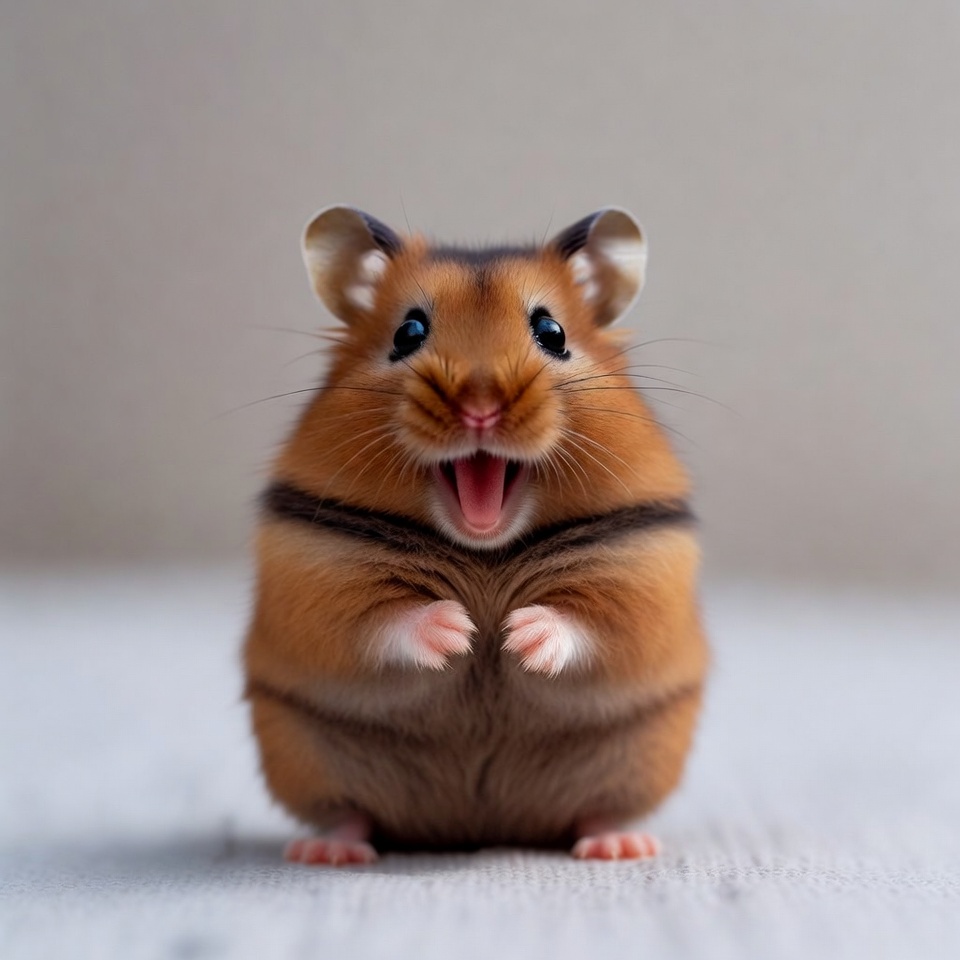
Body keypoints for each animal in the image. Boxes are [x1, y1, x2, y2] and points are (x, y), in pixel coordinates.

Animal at [243, 205, 708, 864]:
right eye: (408, 332)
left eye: (552, 332)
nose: (480, 406)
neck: (485, 551)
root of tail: (474, 829)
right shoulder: (315, 588)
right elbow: (381, 623)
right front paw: (460, 631)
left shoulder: (641, 584)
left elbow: (586, 624)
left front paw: (516, 635)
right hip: (305, 758)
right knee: (348, 814)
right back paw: (329, 852)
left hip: (638, 758)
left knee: (599, 810)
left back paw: (618, 845)